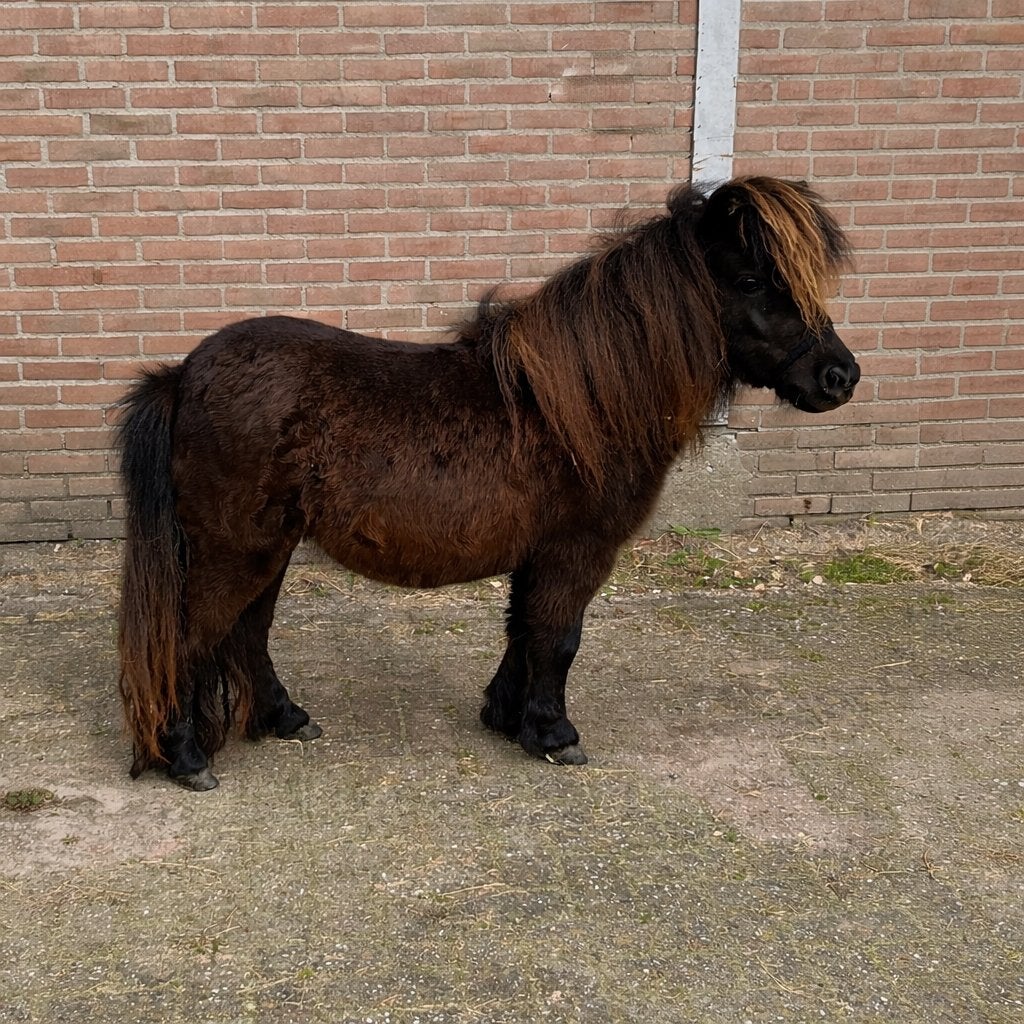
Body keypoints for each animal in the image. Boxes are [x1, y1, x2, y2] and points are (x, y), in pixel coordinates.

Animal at [117, 176, 860, 791]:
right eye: (752, 280)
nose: (839, 376)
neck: (579, 405)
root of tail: (184, 375)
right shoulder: (577, 551)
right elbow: (558, 637)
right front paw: (555, 734)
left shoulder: (539, 555)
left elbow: (523, 632)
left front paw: (508, 718)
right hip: (236, 550)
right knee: (187, 640)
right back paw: (186, 757)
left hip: (266, 548)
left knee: (246, 634)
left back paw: (285, 718)